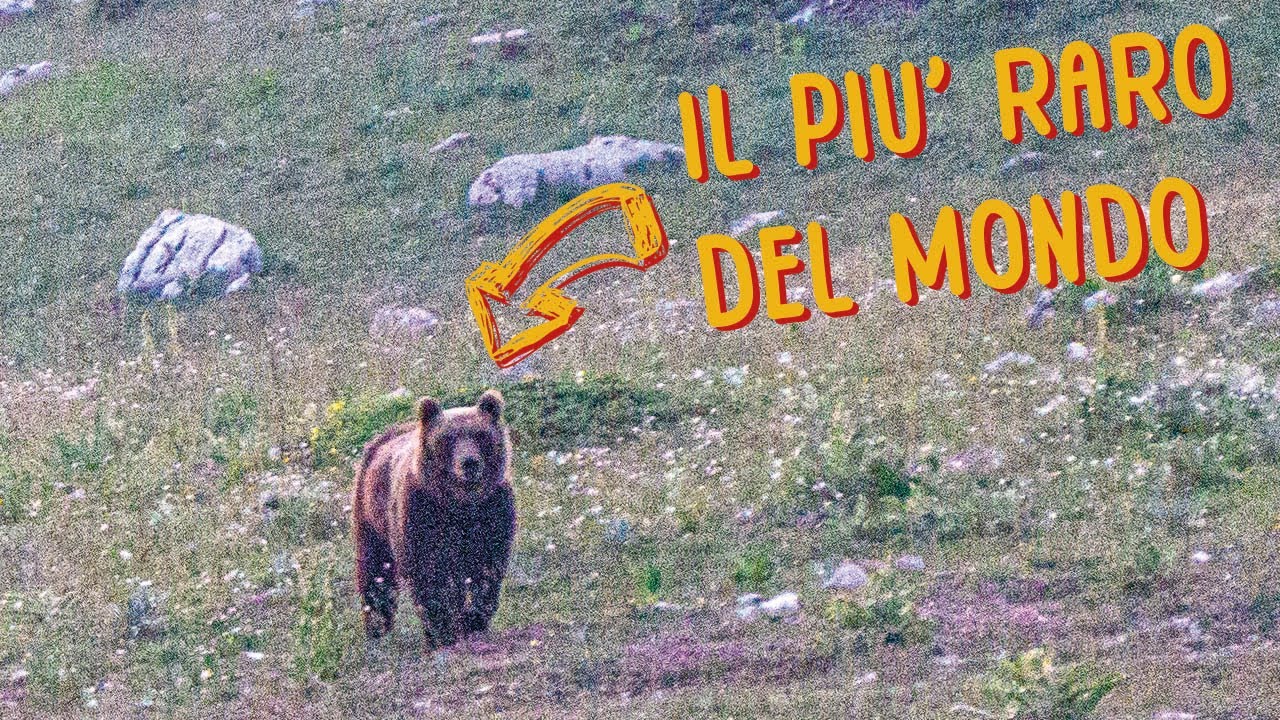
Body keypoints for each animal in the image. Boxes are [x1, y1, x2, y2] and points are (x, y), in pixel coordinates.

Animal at [351, 389, 516, 648]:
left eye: (480, 434)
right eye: (448, 438)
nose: (469, 463)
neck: (460, 505)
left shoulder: (492, 510)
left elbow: (488, 570)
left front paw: (473, 621)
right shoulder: (422, 513)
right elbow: (429, 576)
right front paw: (443, 632)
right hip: (370, 515)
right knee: (375, 571)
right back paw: (377, 628)